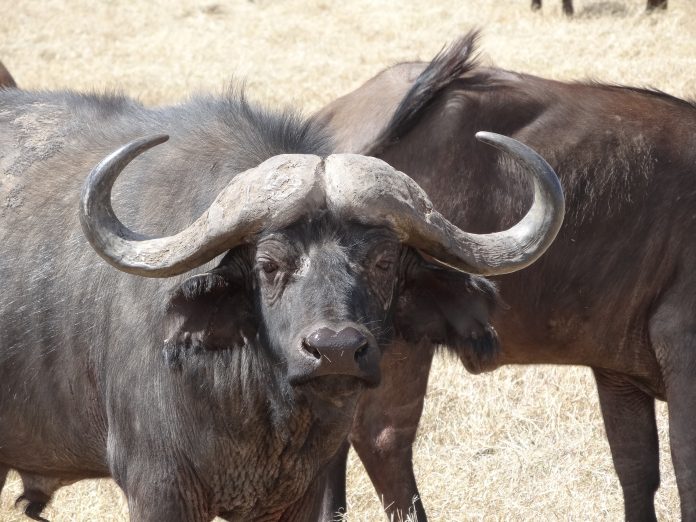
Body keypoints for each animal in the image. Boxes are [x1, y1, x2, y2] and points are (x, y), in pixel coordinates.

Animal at [0, 79, 564, 516]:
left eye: (383, 263)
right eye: (269, 265)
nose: (336, 350)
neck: (259, 405)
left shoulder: (302, 493)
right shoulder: (159, 488)